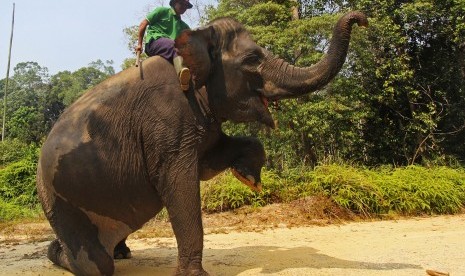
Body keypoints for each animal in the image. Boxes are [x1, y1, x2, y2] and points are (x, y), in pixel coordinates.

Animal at [35, 10, 366, 276]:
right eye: (252, 60)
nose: (361, 19)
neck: (196, 43)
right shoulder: (165, 123)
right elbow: (179, 183)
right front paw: (195, 275)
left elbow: (210, 160)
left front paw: (249, 179)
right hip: (59, 200)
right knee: (96, 265)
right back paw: (57, 251)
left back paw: (120, 252)